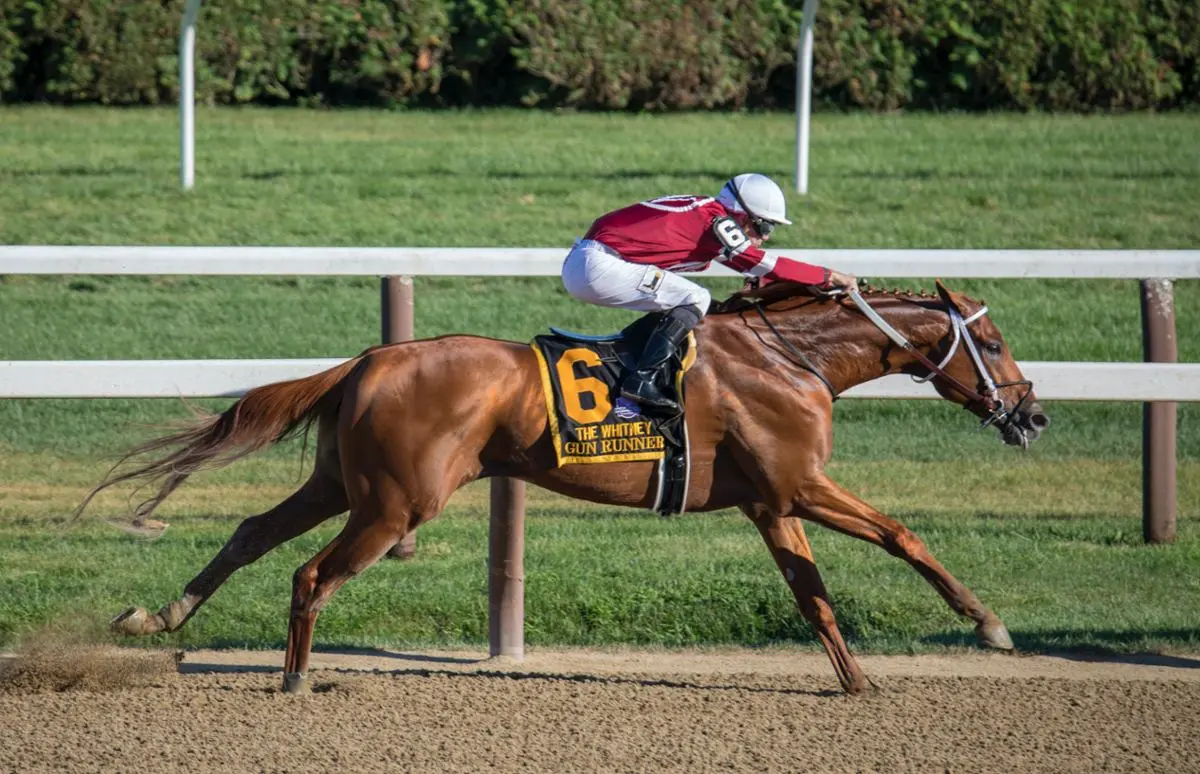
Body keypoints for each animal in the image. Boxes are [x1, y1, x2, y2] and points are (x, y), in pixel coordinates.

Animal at [76, 280, 1049, 694]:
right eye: (996, 343)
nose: (1033, 415)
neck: (792, 358)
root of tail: (370, 360)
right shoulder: (799, 487)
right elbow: (902, 536)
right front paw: (990, 624)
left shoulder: (773, 503)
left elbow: (813, 598)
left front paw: (856, 683)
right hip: (395, 503)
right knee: (312, 575)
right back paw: (293, 684)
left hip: (342, 486)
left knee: (251, 531)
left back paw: (156, 616)